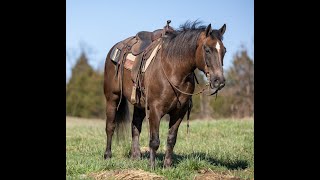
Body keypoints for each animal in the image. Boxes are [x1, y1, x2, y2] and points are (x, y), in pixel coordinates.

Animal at [104, 20, 226, 169]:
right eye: (207, 49)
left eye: (224, 50)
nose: (219, 81)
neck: (173, 69)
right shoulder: (155, 110)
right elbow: (154, 141)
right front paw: (152, 166)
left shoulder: (179, 112)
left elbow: (171, 139)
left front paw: (167, 166)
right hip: (112, 97)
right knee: (110, 126)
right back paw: (107, 155)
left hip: (139, 105)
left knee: (135, 126)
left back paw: (136, 156)